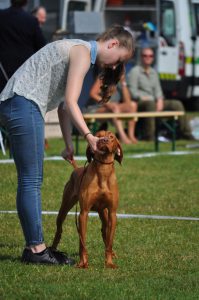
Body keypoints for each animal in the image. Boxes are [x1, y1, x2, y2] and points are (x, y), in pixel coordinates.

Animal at [51, 130, 123, 268]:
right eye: (98, 135)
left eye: (111, 137)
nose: (104, 140)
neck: (103, 171)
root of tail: (77, 168)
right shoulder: (83, 213)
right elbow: (82, 242)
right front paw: (82, 263)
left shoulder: (112, 213)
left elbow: (110, 241)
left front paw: (109, 263)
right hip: (64, 208)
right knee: (59, 229)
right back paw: (52, 249)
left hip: (104, 213)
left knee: (104, 231)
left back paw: (113, 254)